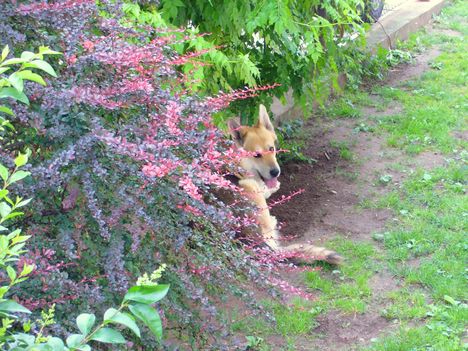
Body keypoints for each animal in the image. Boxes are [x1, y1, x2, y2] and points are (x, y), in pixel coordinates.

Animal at [228, 106, 342, 266]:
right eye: (256, 155)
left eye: (271, 148)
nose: (275, 172)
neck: (237, 166)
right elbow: (266, 189)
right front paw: (273, 187)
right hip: (251, 189)